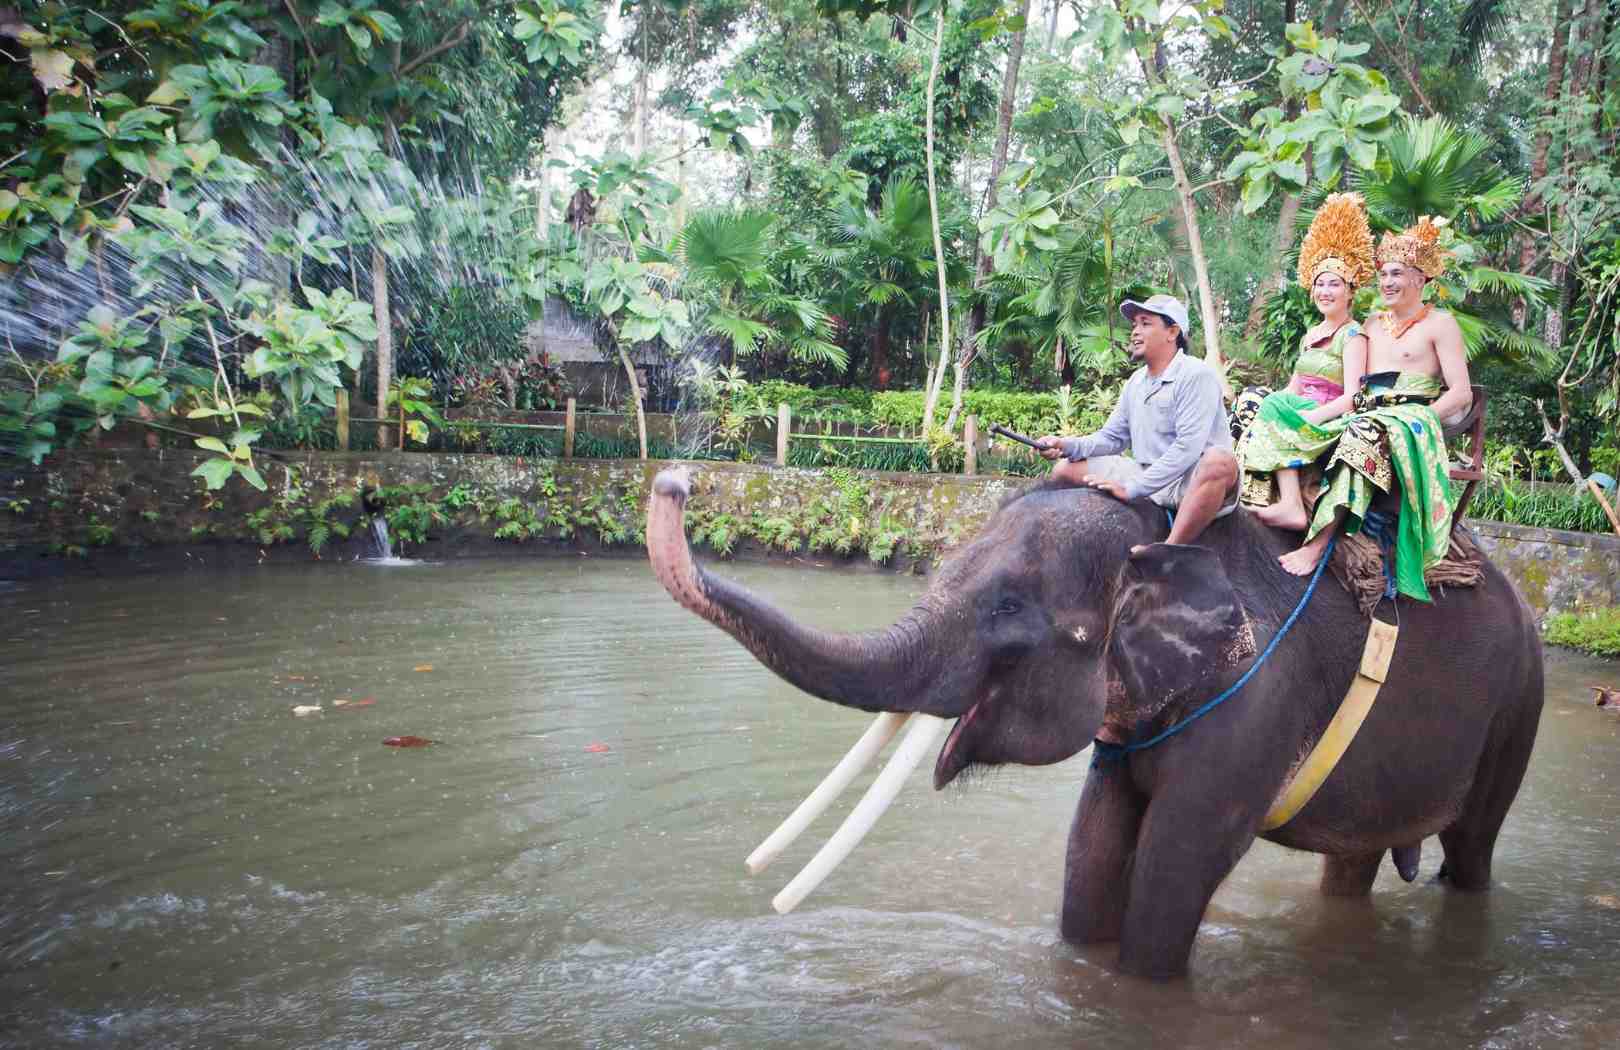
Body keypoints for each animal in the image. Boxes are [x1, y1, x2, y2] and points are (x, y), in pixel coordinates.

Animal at [645, 467, 1543, 978]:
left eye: (1009, 609)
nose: (672, 482)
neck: (1165, 535)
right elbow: (1095, 844)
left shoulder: (1256, 702)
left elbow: (1176, 865)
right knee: (1351, 864)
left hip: (1517, 709)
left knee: (1473, 847)